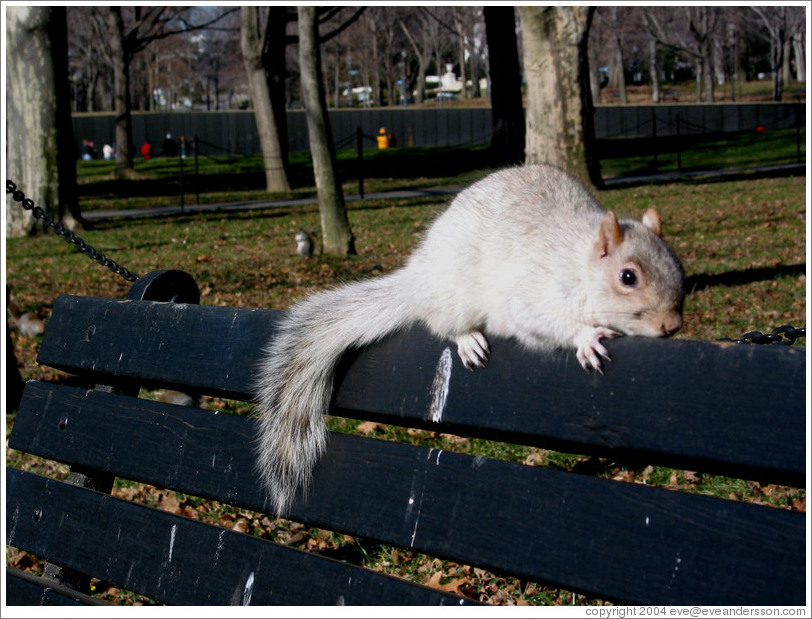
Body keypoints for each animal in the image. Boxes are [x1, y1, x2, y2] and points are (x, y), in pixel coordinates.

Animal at [255, 163, 684, 512]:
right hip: (454, 297)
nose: (672, 325)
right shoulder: (531, 292)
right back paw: (468, 339)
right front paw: (588, 336)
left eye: (677, 264)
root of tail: (418, 277)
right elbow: (541, 319)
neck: (578, 261)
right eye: (628, 276)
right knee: (441, 323)